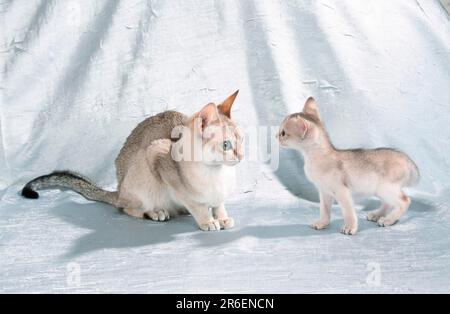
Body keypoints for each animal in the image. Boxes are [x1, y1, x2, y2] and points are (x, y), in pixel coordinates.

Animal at [22, 91, 243, 231]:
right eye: (226, 145)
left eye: (241, 140)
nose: (240, 156)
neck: (217, 173)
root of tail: (119, 189)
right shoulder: (157, 153)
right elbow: (196, 204)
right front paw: (208, 221)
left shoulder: (218, 194)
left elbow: (218, 204)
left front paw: (222, 217)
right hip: (141, 174)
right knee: (126, 208)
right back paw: (156, 212)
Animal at [276, 97, 420, 234]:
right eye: (280, 131)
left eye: (283, 133)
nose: (276, 135)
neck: (315, 158)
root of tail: (406, 158)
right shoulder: (324, 191)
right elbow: (324, 209)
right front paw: (322, 223)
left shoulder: (342, 191)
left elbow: (348, 212)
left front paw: (350, 228)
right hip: (379, 189)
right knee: (388, 202)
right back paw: (377, 215)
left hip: (386, 188)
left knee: (405, 201)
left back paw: (388, 220)